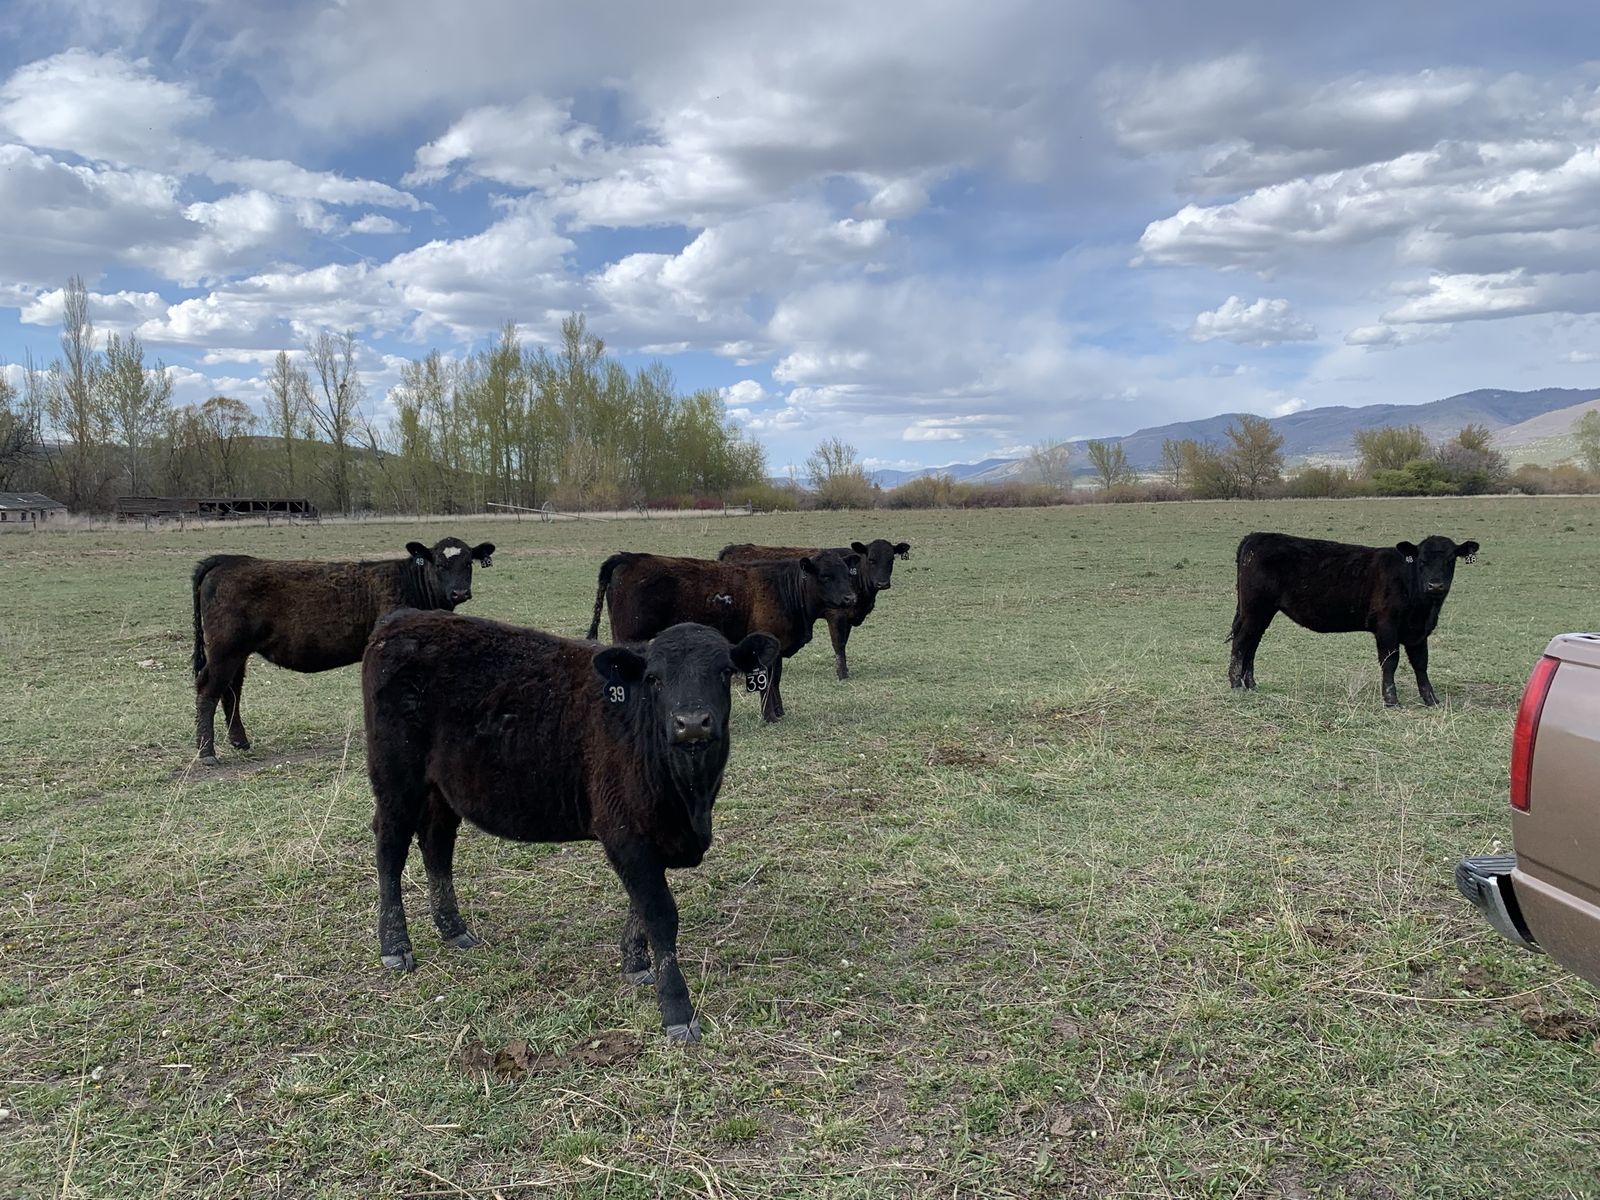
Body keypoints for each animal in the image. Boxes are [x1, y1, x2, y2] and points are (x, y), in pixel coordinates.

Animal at [191, 537, 494, 763]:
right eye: (440, 564)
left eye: (468, 563)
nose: (459, 593)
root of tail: (230, 559)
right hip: (225, 650)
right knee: (208, 689)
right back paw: (207, 752)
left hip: (237, 653)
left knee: (231, 690)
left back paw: (239, 741)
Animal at [362, 611, 779, 1042]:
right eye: (654, 678)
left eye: (725, 671)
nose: (692, 723)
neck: (690, 799)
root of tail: (403, 619)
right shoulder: (625, 833)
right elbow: (660, 914)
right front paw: (677, 1011)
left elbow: (641, 907)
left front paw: (635, 963)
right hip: (395, 777)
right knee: (390, 848)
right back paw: (394, 945)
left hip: (442, 788)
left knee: (437, 843)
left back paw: (452, 929)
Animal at [585, 549, 859, 721]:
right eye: (825, 576)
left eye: (847, 574)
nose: (850, 598)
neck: (785, 590)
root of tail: (627, 557)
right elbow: (767, 683)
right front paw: (770, 716)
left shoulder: (777, 650)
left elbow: (776, 681)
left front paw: (779, 712)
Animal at [718, 539, 911, 679]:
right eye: (871, 560)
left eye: (891, 560)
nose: (882, 583)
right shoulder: (836, 615)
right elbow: (839, 644)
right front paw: (842, 674)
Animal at [1228, 532, 1480, 706]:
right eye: (1421, 561)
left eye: (1451, 560)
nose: (1435, 585)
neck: (1423, 609)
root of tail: (1255, 537)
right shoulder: (1386, 627)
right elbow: (1390, 661)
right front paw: (1391, 700)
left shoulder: (1418, 632)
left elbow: (1421, 664)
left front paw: (1431, 700)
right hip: (1255, 609)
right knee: (1241, 642)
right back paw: (1236, 684)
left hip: (1261, 612)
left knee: (1252, 644)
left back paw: (1250, 684)